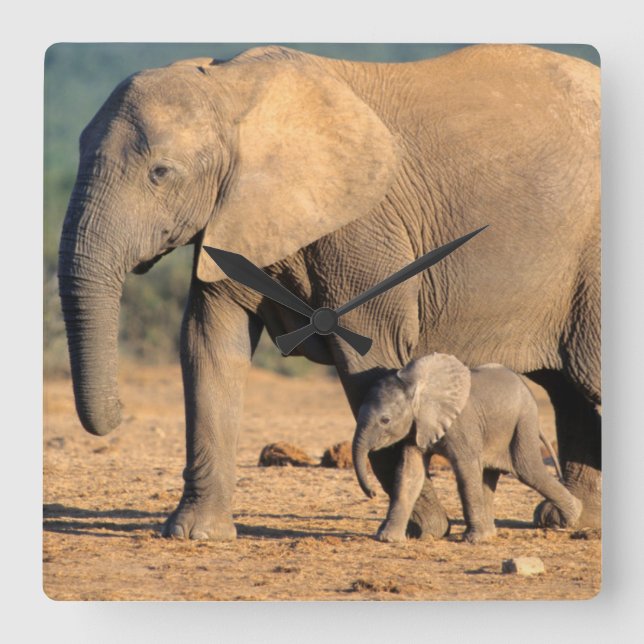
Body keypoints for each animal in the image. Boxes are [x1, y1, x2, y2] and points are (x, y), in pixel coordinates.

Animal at [352, 354, 583, 543]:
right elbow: (410, 473)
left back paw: (572, 518)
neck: (415, 383)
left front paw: (473, 540)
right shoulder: (417, 427)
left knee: (527, 470)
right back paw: (490, 534)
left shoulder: (462, 424)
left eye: (385, 420)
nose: (372, 493)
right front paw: (387, 539)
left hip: (523, 421)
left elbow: (465, 470)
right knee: (490, 474)